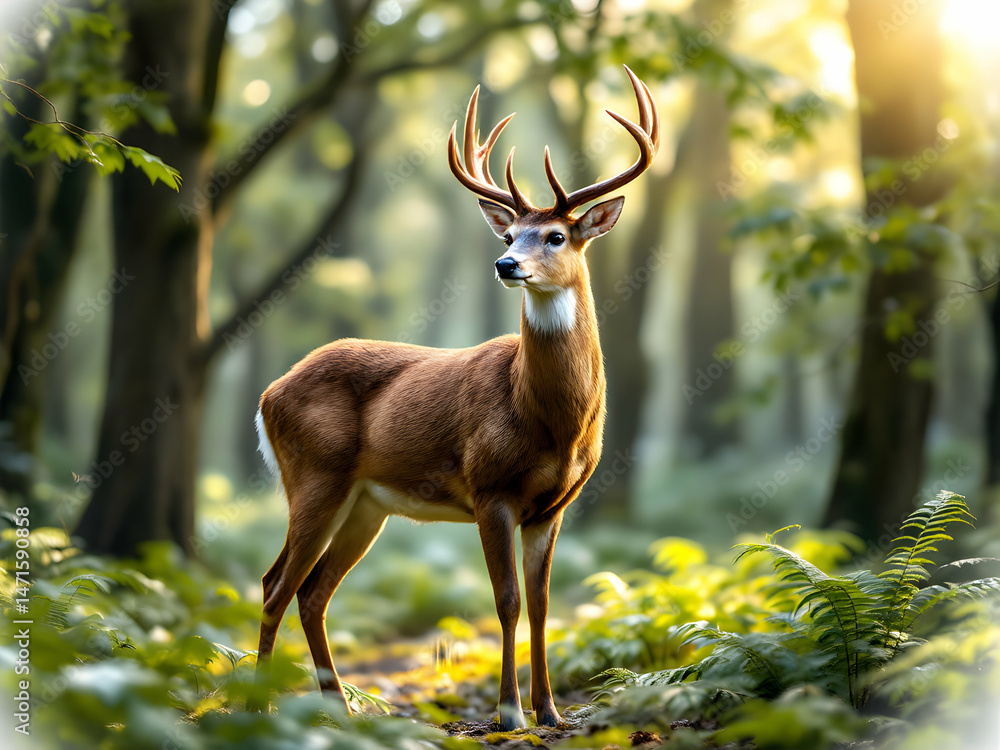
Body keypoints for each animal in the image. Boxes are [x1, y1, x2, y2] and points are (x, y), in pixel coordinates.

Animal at [253, 65, 658, 730]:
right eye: (512, 233)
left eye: (555, 235)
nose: (505, 264)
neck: (549, 420)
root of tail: (267, 395)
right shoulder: (489, 486)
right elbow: (506, 600)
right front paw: (509, 713)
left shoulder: (553, 505)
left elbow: (543, 603)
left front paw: (552, 712)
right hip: (313, 474)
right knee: (276, 584)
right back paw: (259, 708)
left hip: (366, 503)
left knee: (311, 591)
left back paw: (340, 709)